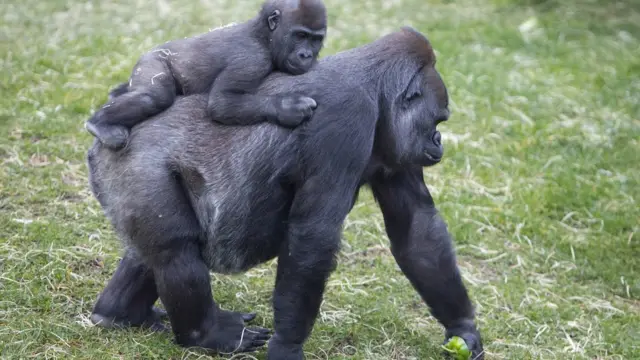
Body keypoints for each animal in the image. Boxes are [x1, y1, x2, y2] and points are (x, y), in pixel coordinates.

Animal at [84, 0, 324, 149]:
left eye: (315, 39)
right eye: (300, 36)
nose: (306, 55)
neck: (264, 35)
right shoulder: (252, 59)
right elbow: (222, 103)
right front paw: (287, 107)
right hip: (151, 61)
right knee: (154, 97)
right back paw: (99, 123)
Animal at [86, 26, 484, 358]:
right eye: (438, 120)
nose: (438, 141)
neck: (376, 86)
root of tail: (103, 140)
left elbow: (417, 230)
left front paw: (463, 328)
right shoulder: (348, 116)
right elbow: (312, 238)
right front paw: (288, 346)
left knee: (153, 250)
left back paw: (120, 313)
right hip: (134, 164)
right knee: (177, 250)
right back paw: (206, 335)